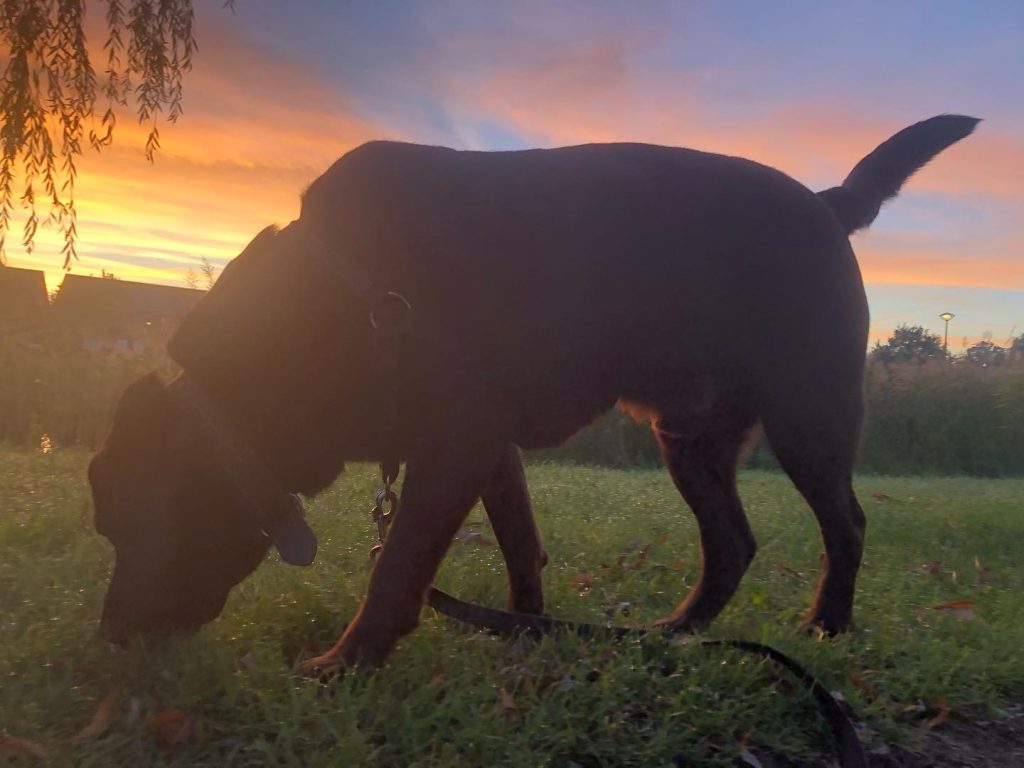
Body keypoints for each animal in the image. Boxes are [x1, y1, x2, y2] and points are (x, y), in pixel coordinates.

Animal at [88, 114, 974, 671]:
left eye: (130, 526)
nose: (111, 639)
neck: (341, 297)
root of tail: (827, 205)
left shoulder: (453, 448)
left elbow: (396, 570)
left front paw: (346, 663)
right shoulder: (485, 449)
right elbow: (521, 546)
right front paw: (524, 631)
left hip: (808, 418)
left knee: (846, 523)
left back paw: (826, 625)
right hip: (690, 439)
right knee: (732, 543)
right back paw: (676, 633)